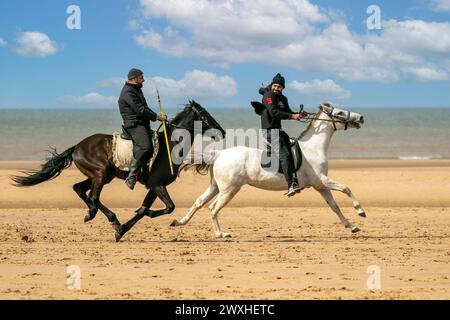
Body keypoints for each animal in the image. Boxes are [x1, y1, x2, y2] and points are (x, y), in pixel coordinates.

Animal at [11, 101, 225, 241]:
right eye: (204, 114)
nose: (222, 131)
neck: (170, 144)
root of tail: (77, 146)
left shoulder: (153, 187)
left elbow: (145, 210)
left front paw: (122, 230)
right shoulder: (157, 184)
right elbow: (167, 207)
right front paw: (125, 225)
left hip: (101, 176)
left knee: (79, 189)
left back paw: (102, 216)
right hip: (100, 175)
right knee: (93, 198)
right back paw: (100, 215)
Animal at [171, 103, 366, 238]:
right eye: (339, 113)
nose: (362, 117)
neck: (312, 149)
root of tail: (219, 154)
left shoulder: (320, 186)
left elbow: (334, 206)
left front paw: (351, 226)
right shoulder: (322, 181)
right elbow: (346, 188)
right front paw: (360, 211)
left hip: (216, 187)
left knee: (199, 202)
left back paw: (179, 222)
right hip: (229, 189)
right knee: (213, 208)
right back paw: (221, 234)